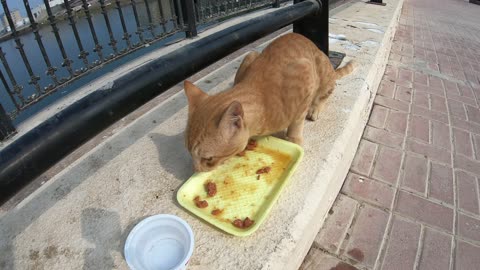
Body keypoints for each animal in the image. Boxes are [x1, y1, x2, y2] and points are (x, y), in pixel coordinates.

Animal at [186, 33, 354, 171]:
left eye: (208, 158)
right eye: (189, 153)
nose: (197, 170)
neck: (264, 102)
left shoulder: (305, 72)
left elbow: (297, 120)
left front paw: (294, 138)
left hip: (322, 72)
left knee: (325, 93)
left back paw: (315, 108)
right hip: (251, 54)